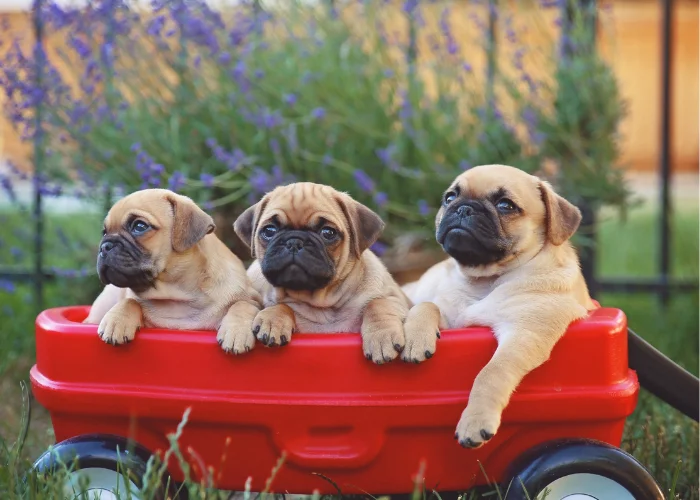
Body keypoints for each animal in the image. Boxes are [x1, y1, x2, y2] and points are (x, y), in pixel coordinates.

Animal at [82, 188, 262, 356]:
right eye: (104, 232)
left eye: (139, 227)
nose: (105, 246)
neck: (176, 295)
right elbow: (129, 301)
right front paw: (116, 320)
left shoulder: (252, 299)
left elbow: (243, 304)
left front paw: (236, 332)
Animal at [232, 183, 438, 364]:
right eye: (269, 230)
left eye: (328, 233)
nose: (294, 241)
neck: (323, 303)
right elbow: (282, 306)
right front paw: (273, 319)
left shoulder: (398, 300)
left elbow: (378, 303)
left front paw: (382, 336)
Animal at [402, 165, 592, 450]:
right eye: (450, 197)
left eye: (505, 205)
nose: (464, 208)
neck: (485, 280)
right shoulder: (451, 317)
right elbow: (426, 306)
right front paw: (415, 337)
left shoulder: (524, 335)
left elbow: (490, 373)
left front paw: (476, 420)